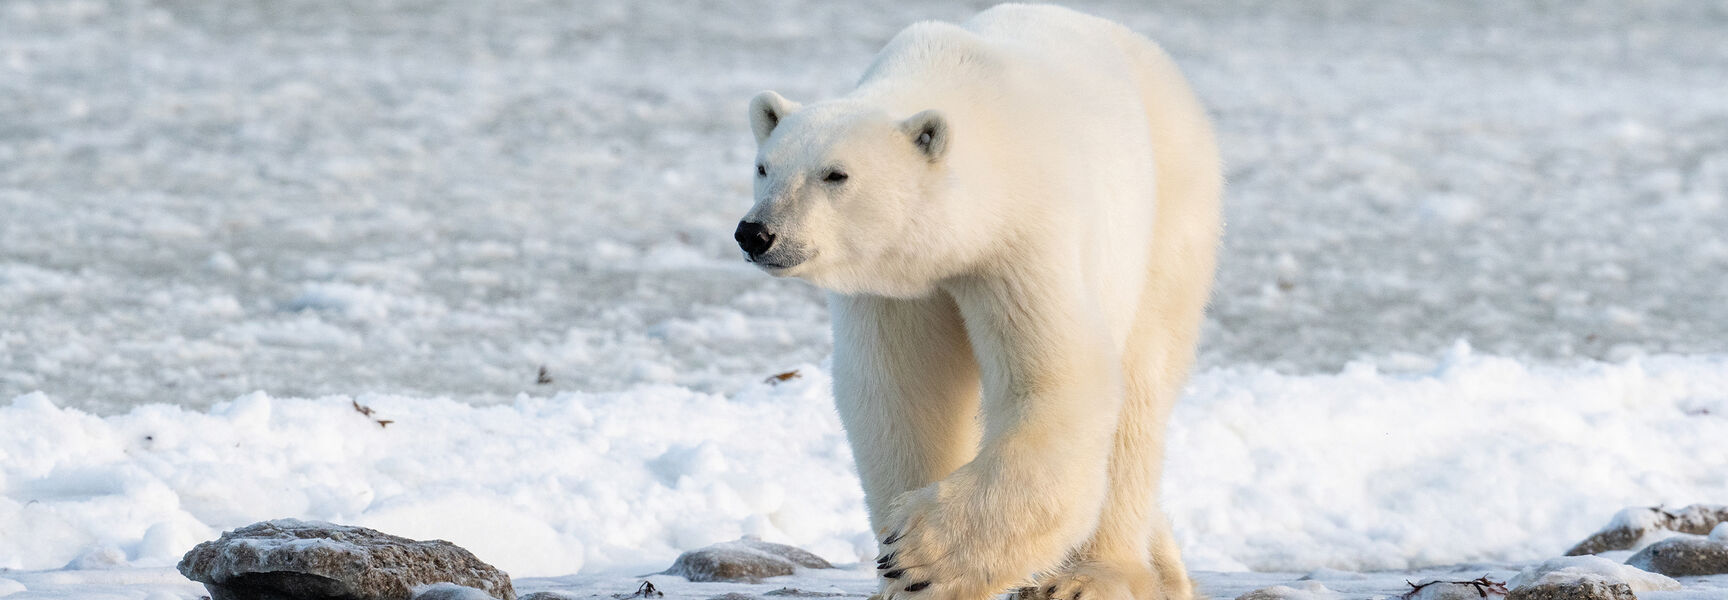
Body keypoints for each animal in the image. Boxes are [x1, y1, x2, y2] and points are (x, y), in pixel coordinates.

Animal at [735, 5, 1221, 600]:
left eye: (835, 174)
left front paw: (920, 557)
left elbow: (1058, 382)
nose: (757, 233)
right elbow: (904, 392)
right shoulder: (896, 284)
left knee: (1140, 388)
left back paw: (1092, 575)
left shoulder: (1023, 241)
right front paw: (901, 576)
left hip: (1171, 212)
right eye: (764, 166)